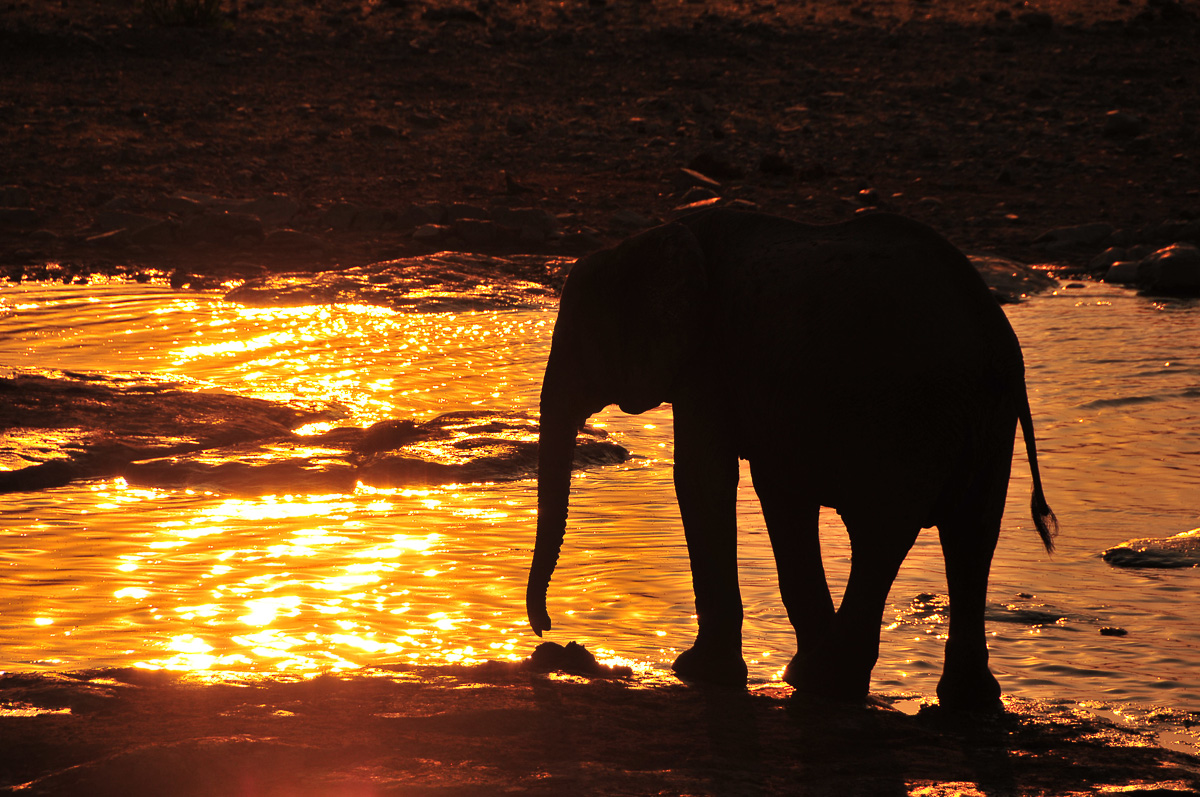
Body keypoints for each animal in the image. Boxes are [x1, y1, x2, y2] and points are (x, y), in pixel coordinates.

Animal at [525, 208, 1056, 710]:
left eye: (576, 340)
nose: (547, 627)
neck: (649, 240)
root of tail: (996, 341)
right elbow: (766, 486)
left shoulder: (710, 363)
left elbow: (705, 479)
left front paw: (698, 672)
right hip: (986, 422)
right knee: (972, 533)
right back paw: (966, 701)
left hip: (913, 415)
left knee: (883, 533)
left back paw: (823, 683)